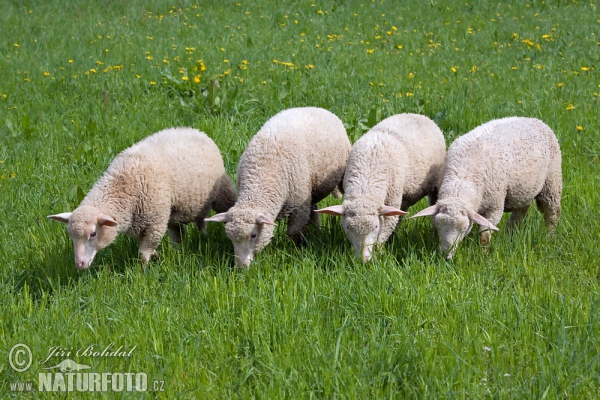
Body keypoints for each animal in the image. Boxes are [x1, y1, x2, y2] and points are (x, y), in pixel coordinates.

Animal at [47, 127, 237, 268]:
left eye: (93, 234)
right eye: (71, 236)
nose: (79, 264)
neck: (123, 185)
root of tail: (194, 130)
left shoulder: (155, 222)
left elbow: (143, 252)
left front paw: (143, 270)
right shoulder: (138, 224)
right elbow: (144, 245)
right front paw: (155, 256)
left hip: (220, 192)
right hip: (175, 211)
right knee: (182, 230)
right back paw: (179, 249)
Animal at [205, 106, 352, 268]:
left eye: (253, 235)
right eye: (230, 238)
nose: (241, 267)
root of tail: (315, 107)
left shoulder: (299, 206)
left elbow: (293, 232)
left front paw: (298, 250)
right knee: (313, 209)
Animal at [314, 112, 446, 262]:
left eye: (376, 226)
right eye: (348, 227)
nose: (363, 260)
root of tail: (417, 115)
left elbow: (385, 229)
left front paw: (379, 252)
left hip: (434, 186)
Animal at [412, 115, 564, 260]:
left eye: (464, 228)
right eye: (438, 225)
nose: (446, 256)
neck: (462, 178)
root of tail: (534, 119)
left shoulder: (494, 207)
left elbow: (485, 235)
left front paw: (484, 255)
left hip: (552, 181)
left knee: (552, 213)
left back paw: (550, 237)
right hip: (523, 190)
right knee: (521, 210)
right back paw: (510, 234)